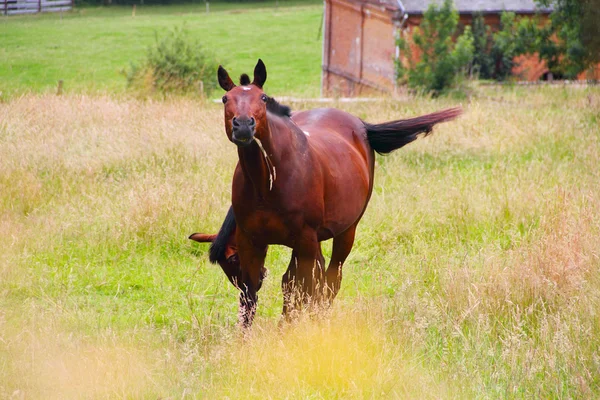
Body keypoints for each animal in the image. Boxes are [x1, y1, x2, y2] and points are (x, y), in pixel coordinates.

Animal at [190, 59, 462, 328]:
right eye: (225, 99)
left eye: (263, 98)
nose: (244, 126)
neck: (266, 184)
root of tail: (361, 125)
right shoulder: (252, 241)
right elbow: (252, 299)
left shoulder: (305, 239)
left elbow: (300, 285)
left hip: (346, 231)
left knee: (332, 278)